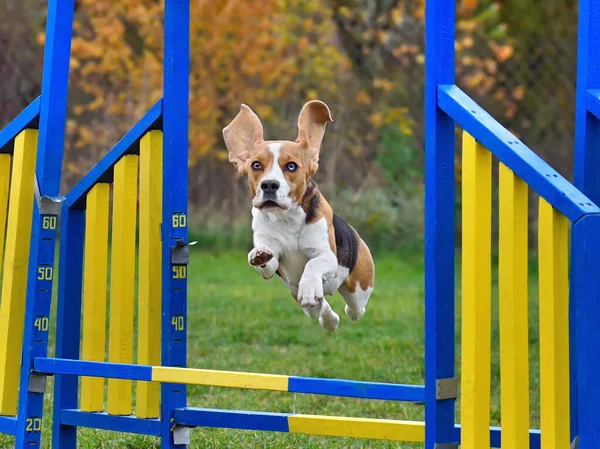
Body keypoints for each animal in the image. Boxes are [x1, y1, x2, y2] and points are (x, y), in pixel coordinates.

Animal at [224, 101, 376, 332]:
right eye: (256, 165)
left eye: (291, 166)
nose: (269, 185)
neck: (287, 219)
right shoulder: (273, 261)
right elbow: (267, 262)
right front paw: (258, 254)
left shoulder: (327, 256)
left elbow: (313, 264)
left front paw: (310, 287)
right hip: (300, 297)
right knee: (320, 308)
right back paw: (329, 319)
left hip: (359, 288)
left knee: (355, 309)